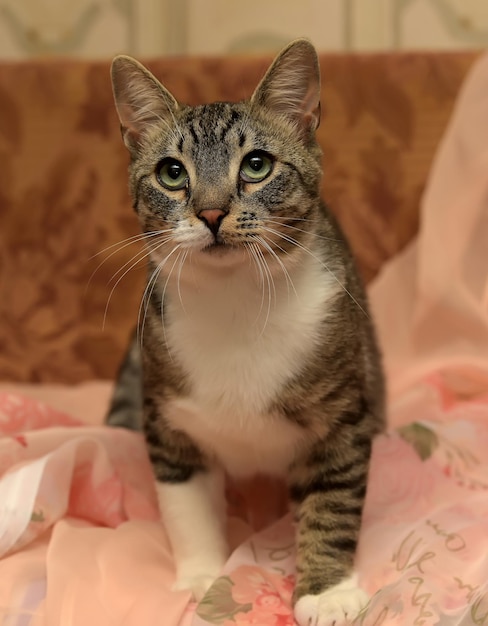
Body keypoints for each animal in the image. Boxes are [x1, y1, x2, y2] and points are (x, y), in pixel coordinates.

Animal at [107, 40, 386, 624]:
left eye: (257, 164)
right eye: (171, 173)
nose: (211, 212)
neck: (236, 302)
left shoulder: (343, 414)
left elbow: (333, 499)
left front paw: (327, 590)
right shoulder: (168, 416)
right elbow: (185, 501)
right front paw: (204, 575)